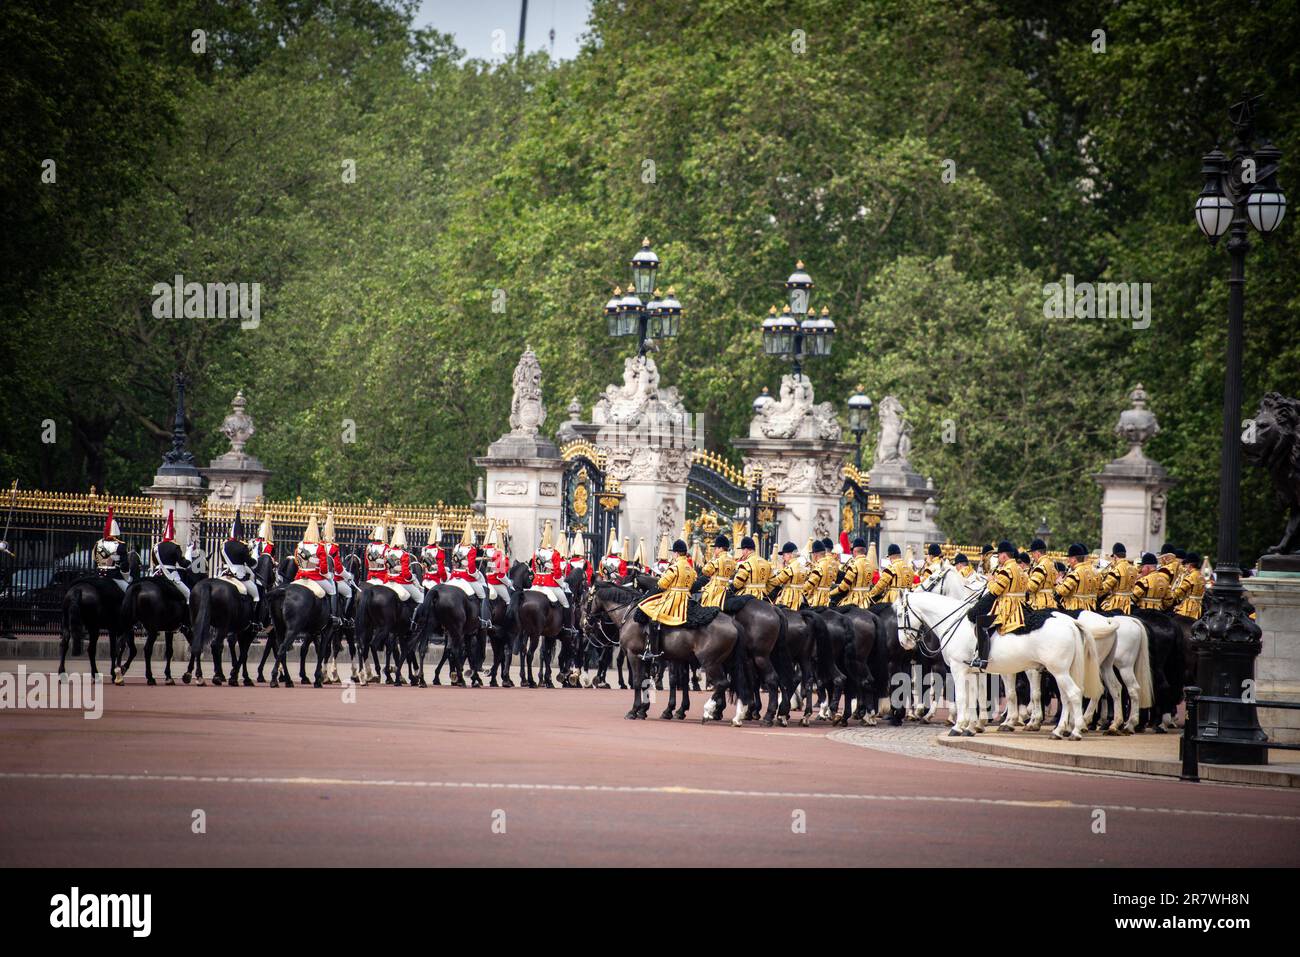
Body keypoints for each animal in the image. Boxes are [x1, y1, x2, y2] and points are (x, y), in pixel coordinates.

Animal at [894, 590, 1107, 738]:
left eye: (899, 614)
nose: (904, 643)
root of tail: (1071, 622)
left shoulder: (958, 669)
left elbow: (962, 698)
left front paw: (958, 727)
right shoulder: (972, 671)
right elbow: (974, 699)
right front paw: (971, 727)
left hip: (1058, 671)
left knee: (1074, 694)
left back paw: (1076, 731)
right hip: (1061, 672)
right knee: (1066, 697)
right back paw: (1059, 730)